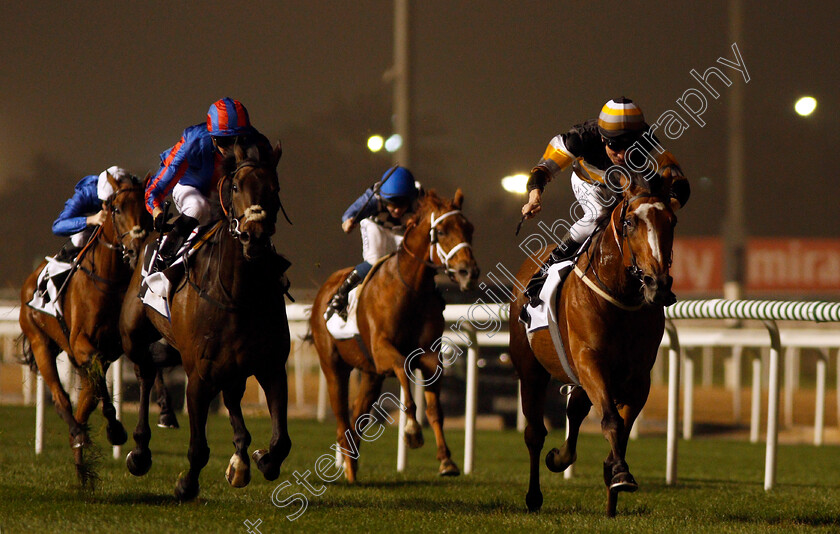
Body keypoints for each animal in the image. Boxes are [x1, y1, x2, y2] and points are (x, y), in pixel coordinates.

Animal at [19, 174, 150, 488]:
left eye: (146, 209)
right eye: (116, 209)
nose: (136, 246)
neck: (108, 279)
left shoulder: (109, 351)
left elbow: (100, 386)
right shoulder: (81, 343)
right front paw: (115, 429)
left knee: (82, 407)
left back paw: (82, 467)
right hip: (41, 343)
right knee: (61, 398)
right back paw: (78, 434)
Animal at [116, 141, 290, 502]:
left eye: (275, 189)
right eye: (236, 187)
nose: (254, 237)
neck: (238, 295)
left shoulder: (272, 367)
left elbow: (281, 442)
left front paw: (260, 458)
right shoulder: (197, 374)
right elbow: (198, 448)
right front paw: (186, 484)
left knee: (232, 397)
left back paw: (240, 458)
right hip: (133, 336)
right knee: (145, 373)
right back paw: (141, 449)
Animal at [308, 191, 480, 484]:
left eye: (469, 229)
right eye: (442, 231)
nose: (469, 272)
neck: (410, 288)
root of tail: (323, 290)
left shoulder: (430, 355)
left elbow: (435, 409)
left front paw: (446, 460)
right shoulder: (382, 350)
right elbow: (402, 370)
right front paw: (411, 431)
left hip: (370, 375)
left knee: (358, 418)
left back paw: (352, 468)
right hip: (333, 367)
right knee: (342, 420)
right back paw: (349, 471)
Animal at [508, 173, 680, 520]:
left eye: (672, 221)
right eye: (630, 222)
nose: (657, 283)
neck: (621, 296)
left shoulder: (637, 378)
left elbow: (621, 429)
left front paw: (614, 478)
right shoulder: (590, 360)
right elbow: (612, 420)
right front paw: (618, 473)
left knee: (575, 409)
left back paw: (561, 458)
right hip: (531, 370)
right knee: (534, 433)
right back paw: (534, 495)